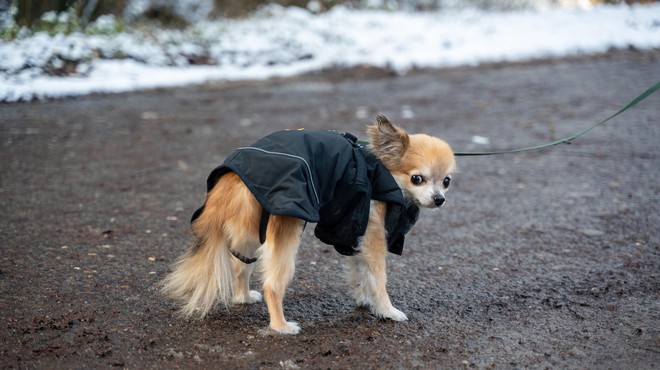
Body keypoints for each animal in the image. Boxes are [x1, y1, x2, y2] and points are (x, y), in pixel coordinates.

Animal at [162, 114, 456, 334]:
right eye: (417, 178)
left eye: (446, 181)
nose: (439, 199)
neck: (381, 170)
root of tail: (232, 181)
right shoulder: (374, 239)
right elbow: (378, 279)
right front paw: (386, 310)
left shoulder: (355, 236)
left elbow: (359, 272)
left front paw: (364, 300)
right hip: (285, 234)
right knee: (272, 285)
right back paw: (281, 327)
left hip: (250, 235)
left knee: (239, 267)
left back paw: (243, 297)